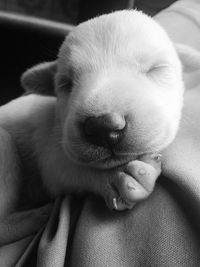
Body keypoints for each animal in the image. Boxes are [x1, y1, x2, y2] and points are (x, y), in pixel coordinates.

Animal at [0, 9, 199, 227]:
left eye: (157, 68)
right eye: (65, 84)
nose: (103, 127)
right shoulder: (51, 150)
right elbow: (68, 168)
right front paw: (118, 177)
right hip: (4, 142)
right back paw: (34, 217)